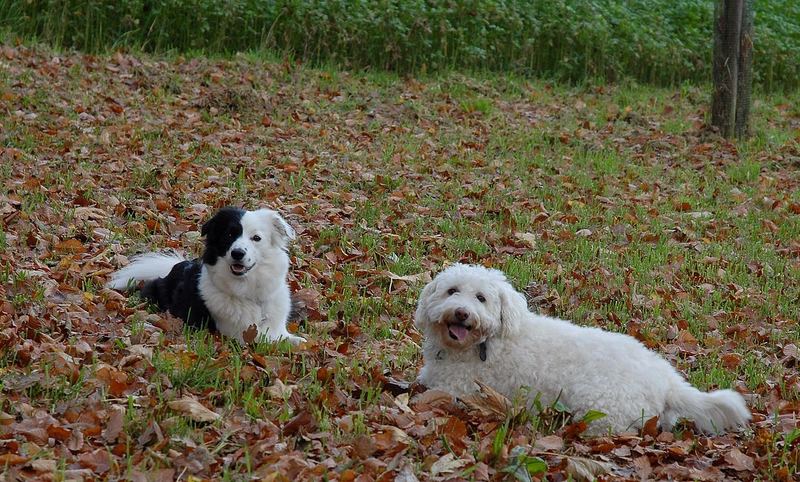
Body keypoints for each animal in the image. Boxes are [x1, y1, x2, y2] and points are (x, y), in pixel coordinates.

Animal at [107, 205, 306, 344]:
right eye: (229, 235)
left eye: (256, 238)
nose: (237, 253)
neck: (249, 294)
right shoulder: (239, 334)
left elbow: (294, 340)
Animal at [416, 266, 752, 434]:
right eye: (452, 291)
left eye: (481, 298)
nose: (461, 313)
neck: (486, 341)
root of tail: (667, 381)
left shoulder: (454, 389)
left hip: (600, 409)